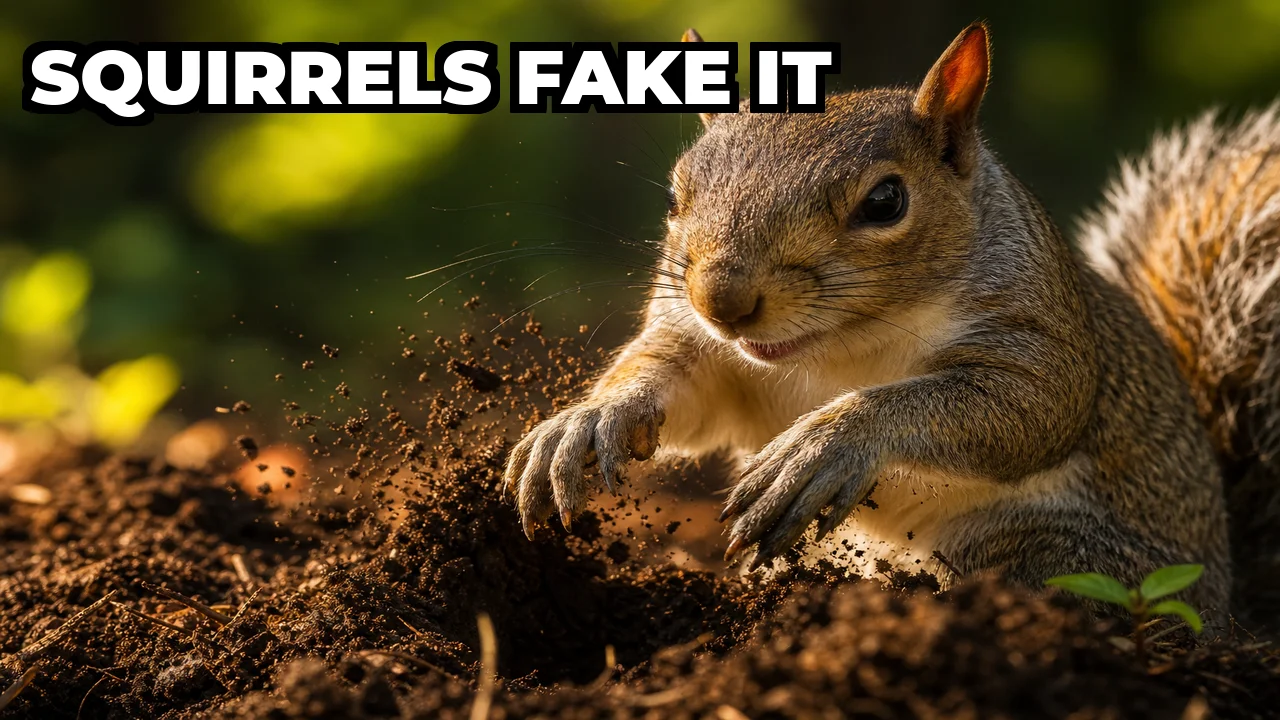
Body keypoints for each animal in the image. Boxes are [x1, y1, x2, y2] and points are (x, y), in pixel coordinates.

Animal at [502, 22, 1280, 623]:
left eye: (885, 201)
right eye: (674, 195)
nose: (722, 302)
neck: (832, 351)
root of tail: (1227, 602)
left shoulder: (1034, 338)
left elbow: (1026, 410)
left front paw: (829, 440)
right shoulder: (715, 357)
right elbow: (680, 387)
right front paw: (591, 419)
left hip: (1054, 551)